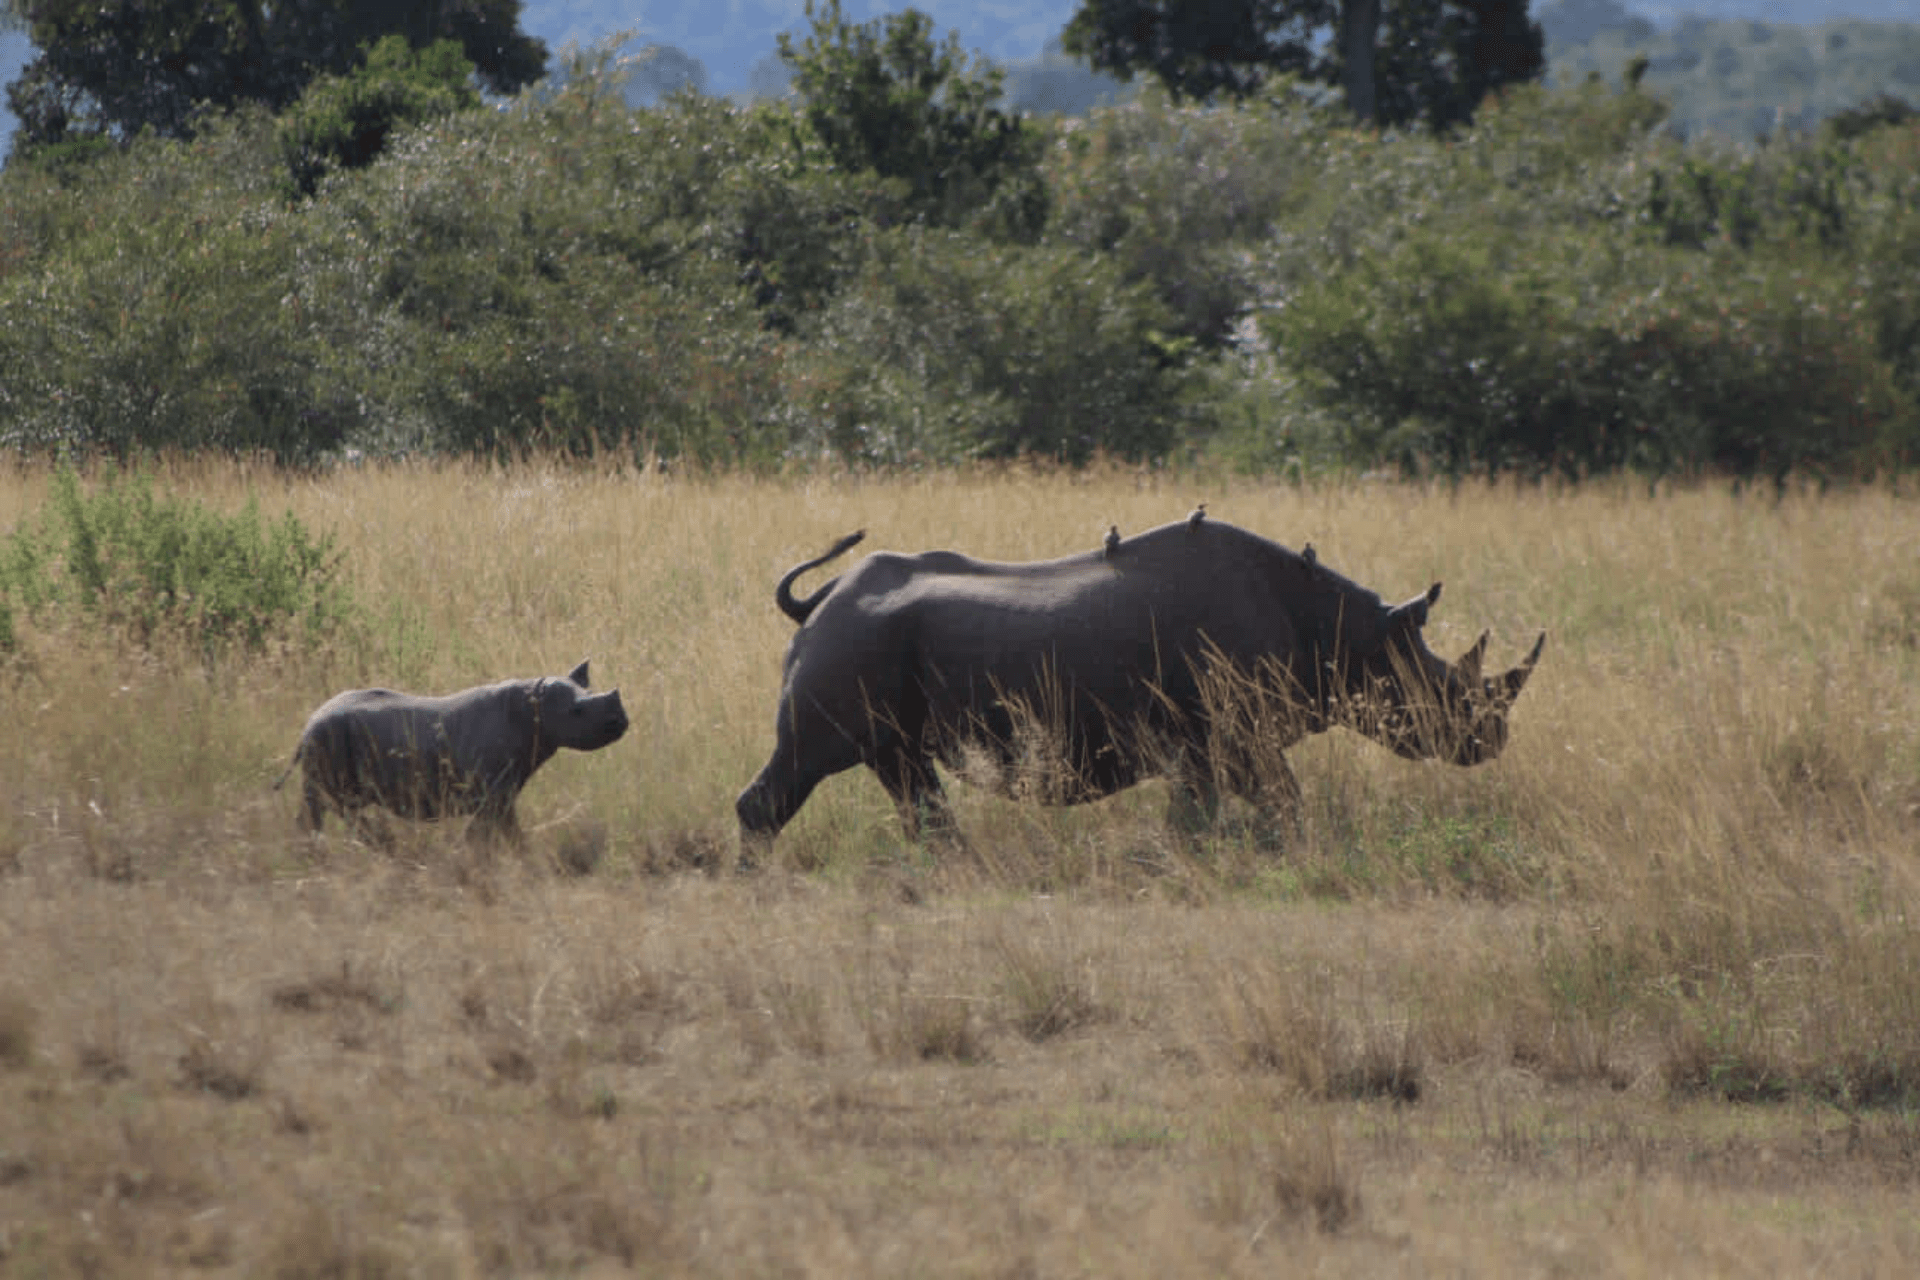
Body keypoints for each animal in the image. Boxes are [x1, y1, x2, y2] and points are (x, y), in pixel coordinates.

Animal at [277, 659, 629, 843]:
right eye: (576, 712)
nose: (622, 721)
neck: (533, 710)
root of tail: (307, 725)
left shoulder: (500, 790)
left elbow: (494, 831)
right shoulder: (492, 791)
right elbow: (500, 831)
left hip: (328, 738)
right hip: (326, 739)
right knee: (328, 804)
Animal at [736, 519, 1542, 845]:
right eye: (1445, 691)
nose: (1495, 740)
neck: (1353, 636)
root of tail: (823, 598)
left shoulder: (1209, 745)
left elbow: (1206, 815)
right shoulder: (1233, 735)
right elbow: (1282, 804)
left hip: (872, 655)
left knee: (908, 778)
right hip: (851, 643)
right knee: (806, 764)